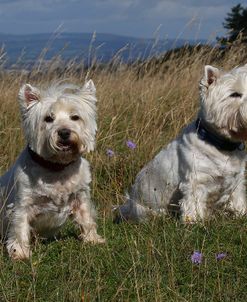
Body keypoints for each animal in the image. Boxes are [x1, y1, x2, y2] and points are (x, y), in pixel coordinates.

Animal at [0, 79, 104, 260]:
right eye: (48, 118)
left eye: (75, 117)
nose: (64, 132)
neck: (57, 169)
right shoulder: (22, 204)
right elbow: (19, 227)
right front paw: (19, 253)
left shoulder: (81, 195)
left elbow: (86, 218)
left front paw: (92, 239)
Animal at [116, 65, 247, 223]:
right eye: (235, 94)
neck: (221, 146)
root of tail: (128, 204)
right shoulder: (195, 182)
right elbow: (193, 204)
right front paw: (195, 222)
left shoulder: (237, 181)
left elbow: (238, 200)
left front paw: (241, 214)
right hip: (147, 209)